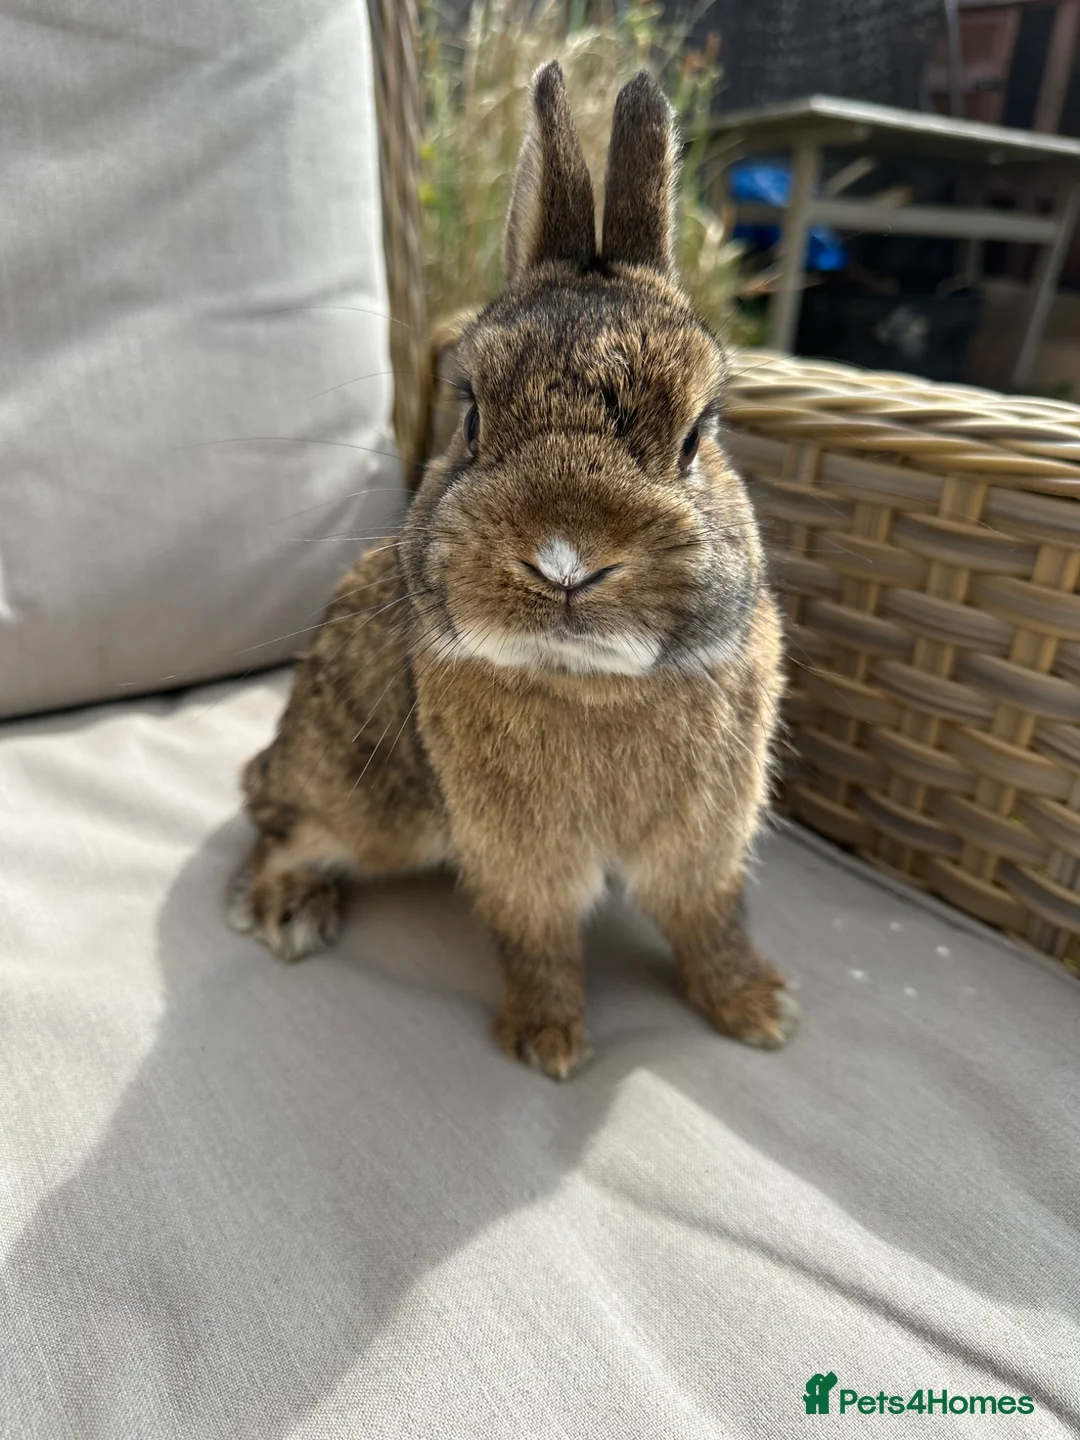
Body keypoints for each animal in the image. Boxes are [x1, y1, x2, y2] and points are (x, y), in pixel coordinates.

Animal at [228, 62, 798, 1079]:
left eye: (696, 437)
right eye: (471, 418)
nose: (565, 561)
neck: (589, 684)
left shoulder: (704, 844)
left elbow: (709, 920)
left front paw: (755, 1009)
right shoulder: (520, 861)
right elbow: (538, 939)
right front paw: (548, 1042)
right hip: (368, 803)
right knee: (279, 821)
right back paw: (290, 911)